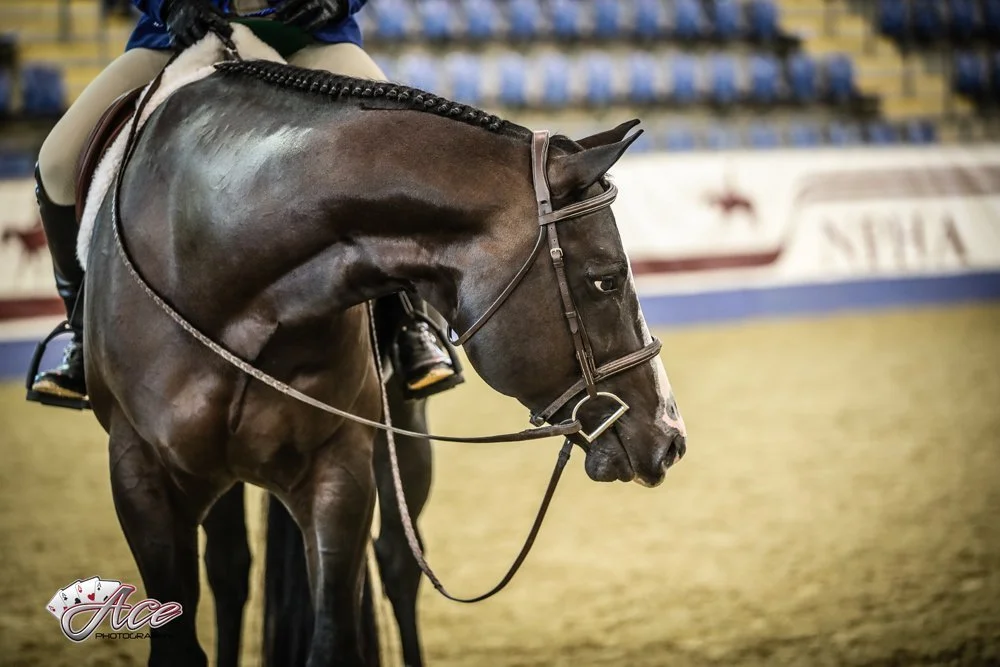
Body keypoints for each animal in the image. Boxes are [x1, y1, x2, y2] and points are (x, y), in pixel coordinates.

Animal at [81, 52, 686, 667]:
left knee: (397, 564)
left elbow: (334, 633)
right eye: (606, 278)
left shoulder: (338, 474)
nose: (670, 436)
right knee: (231, 572)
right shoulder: (140, 475)